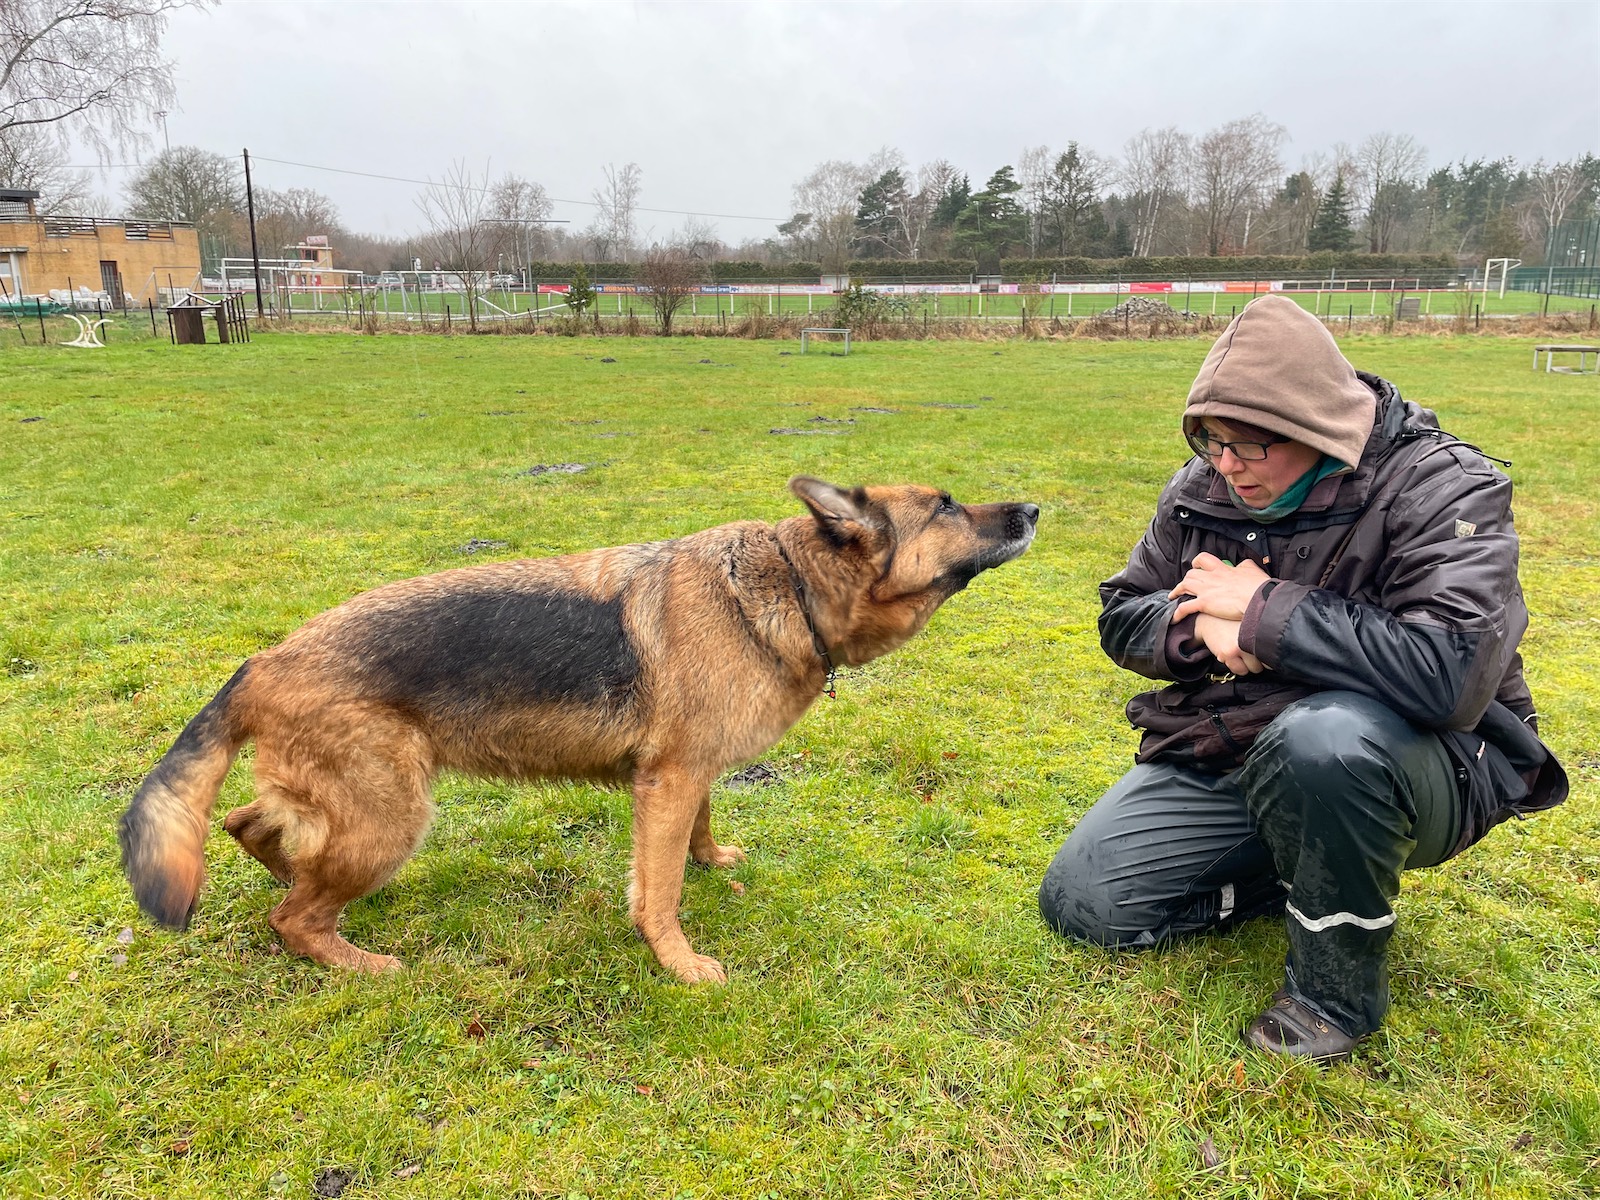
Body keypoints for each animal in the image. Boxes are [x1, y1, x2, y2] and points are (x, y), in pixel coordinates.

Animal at [116, 480, 1036, 985]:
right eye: (946, 505)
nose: (1033, 508)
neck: (790, 585)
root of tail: (264, 660)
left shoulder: (685, 773)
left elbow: (698, 833)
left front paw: (712, 861)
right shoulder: (668, 780)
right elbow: (658, 890)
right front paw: (677, 962)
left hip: (346, 808)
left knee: (250, 827)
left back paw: (294, 876)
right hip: (392, 816)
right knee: (293, 919)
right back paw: (360, 962)